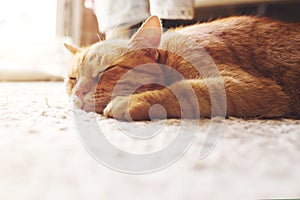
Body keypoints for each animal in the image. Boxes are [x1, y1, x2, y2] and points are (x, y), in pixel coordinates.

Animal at [65, 15, 300, 120]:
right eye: (73, 79)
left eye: (107, 70)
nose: (79, 92)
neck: (169, 57)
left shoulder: (252, 87)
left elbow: (183, 89)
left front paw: (130, 101)